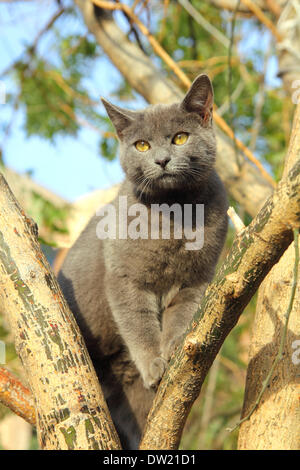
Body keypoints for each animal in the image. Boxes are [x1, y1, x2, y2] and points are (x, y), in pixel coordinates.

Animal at [58, 75, 227, 450]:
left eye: (180, 137)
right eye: (142, 145)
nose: (162, 160)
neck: (175, 214)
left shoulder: (197, 279)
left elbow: (181, 316)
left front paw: (174, 348)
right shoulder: (125, 278)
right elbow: (138, 322)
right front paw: (153, 362)